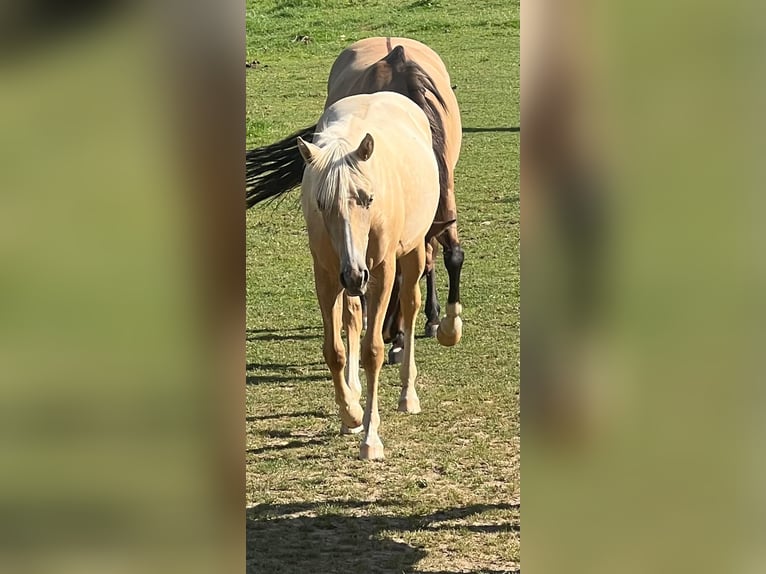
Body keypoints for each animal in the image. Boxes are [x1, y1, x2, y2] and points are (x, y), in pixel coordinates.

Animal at [296, 91, 440, 459]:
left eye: (369, 198)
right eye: (321, 203)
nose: (354, 275)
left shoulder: (381, 273)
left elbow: (373, 350)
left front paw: (370, 438)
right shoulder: (326, 276)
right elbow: (334, 350)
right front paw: (350, 413)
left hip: (412, 252)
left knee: (410, 305)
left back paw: (407, 395)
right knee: (352, 316)